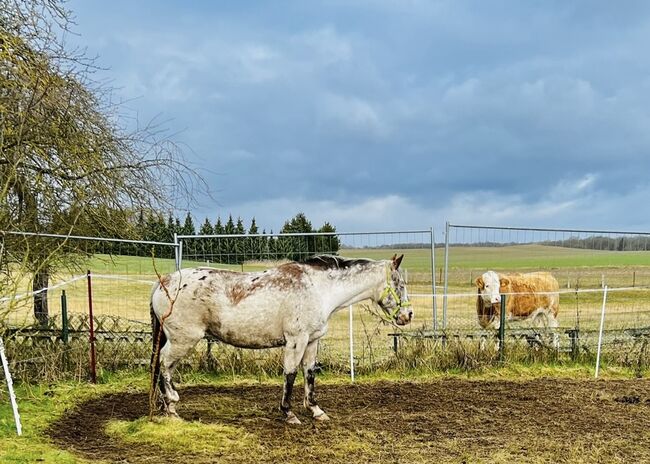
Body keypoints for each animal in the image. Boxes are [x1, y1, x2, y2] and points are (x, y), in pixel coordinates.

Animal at [151, 254, 410, 424]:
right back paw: (172, 406)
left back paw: (165, 405)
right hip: (183, 340)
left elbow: (309, 373)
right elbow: (291, 374)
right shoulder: (296, 340)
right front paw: (288, 413)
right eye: (399, 284)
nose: (408, 315)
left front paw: (316, 410)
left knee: (161, 366)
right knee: (164, 364)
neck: (319, 289)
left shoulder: (312, 341)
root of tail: (164, 282)